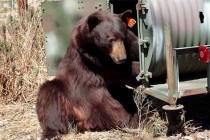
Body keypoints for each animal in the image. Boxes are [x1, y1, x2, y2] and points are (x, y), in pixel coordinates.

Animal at [36, 9, 139, 139]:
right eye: (110, 40)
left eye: (122, 38)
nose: (121, 58)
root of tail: (85, 122)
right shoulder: (91, 58)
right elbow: (117, 71)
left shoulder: (128, 45)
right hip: (70, 96)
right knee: (48, 94)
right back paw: (51, 133)